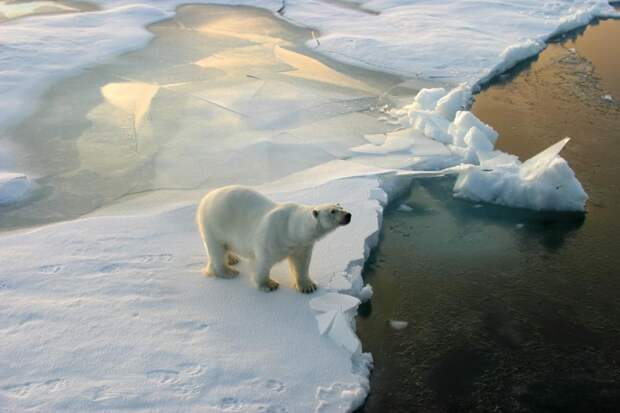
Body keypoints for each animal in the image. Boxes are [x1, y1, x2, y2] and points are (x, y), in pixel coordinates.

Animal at [196, 185, 352, 292]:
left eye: (341, 207)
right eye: (332, 211)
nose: (348, 215)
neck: (291, 228)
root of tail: (205, 199)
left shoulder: (302, 245)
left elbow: (301, 263)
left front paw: (308, 286)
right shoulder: (271, 238)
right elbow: (263, 262)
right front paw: (269, 284)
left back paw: (233, 259)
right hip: (214, 224)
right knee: (217, 249)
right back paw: (228, 272)